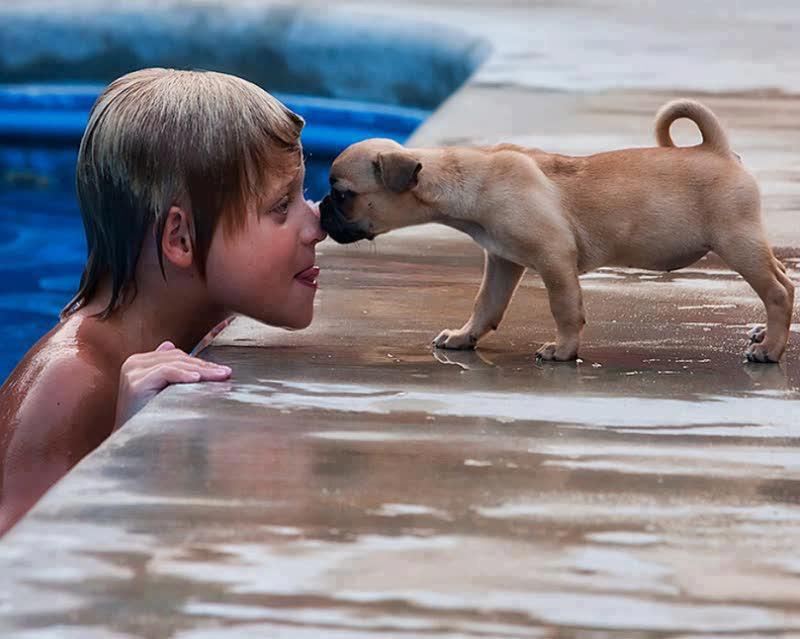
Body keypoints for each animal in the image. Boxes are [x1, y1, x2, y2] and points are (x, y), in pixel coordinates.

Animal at [318, 97, 792, 362]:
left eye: (341, 194)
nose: (319, 209)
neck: (464, 181)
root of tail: (717, 149)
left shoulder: (554, 260)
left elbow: (565, 310)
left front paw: (563, 351)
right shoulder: (502, 262)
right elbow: (485, 306)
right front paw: (464, 337)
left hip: (736, 242)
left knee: (778, 292)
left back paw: (769, 349)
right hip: (748, 244)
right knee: (785, 279)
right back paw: (764, 333)